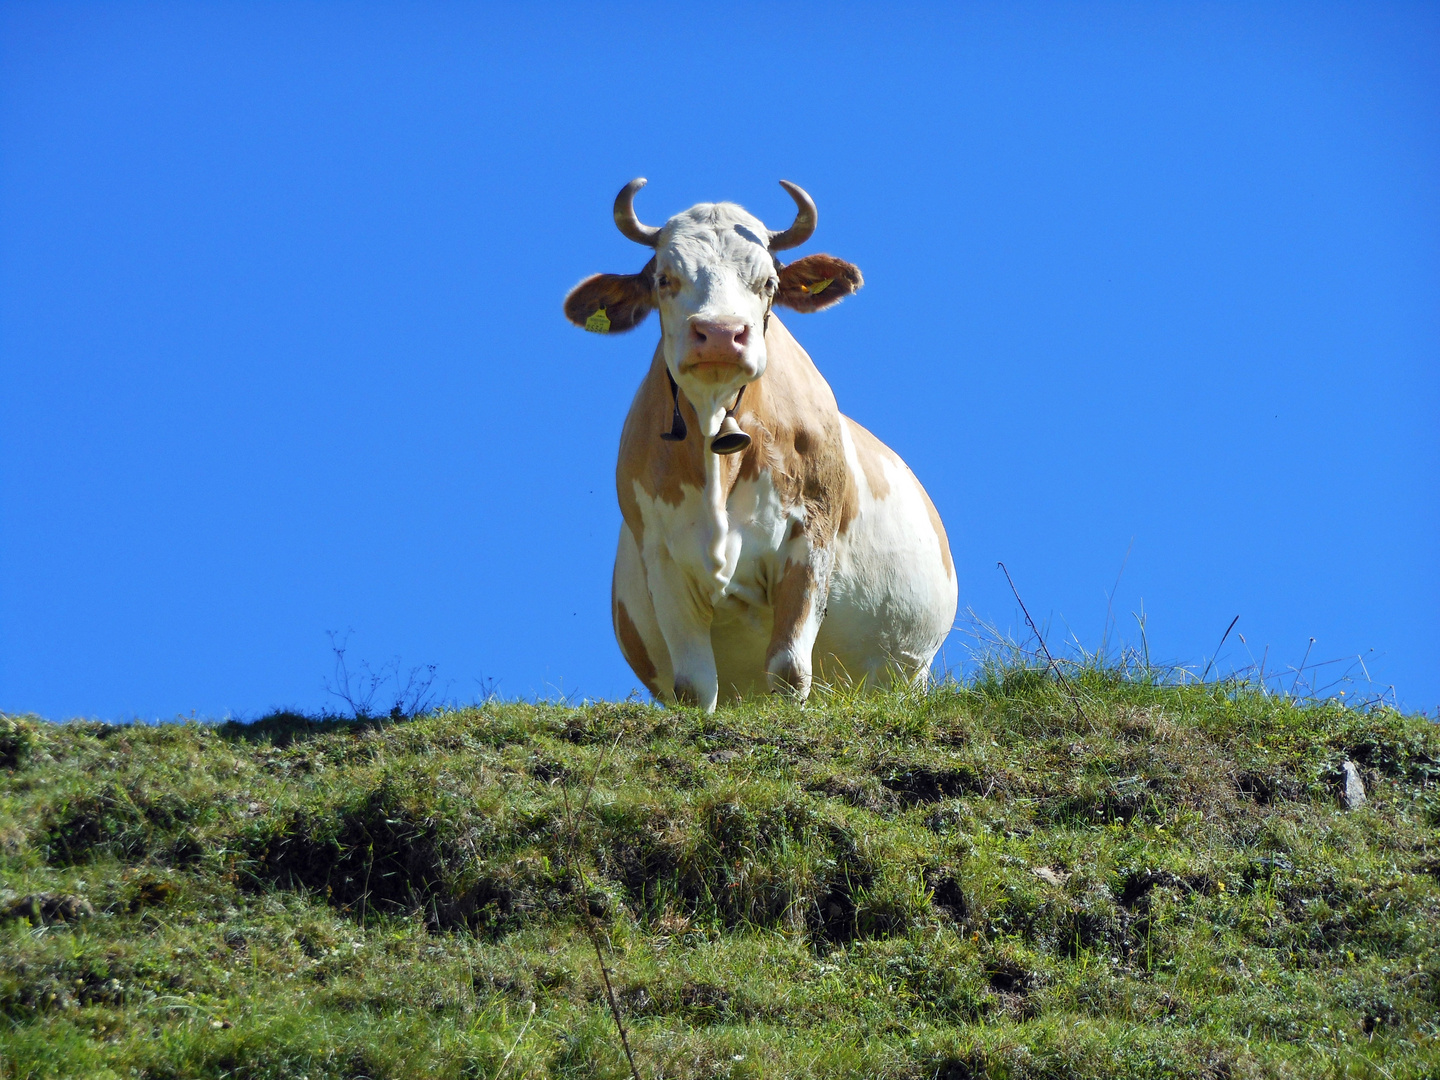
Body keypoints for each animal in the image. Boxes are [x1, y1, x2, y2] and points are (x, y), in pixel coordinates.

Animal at [561, 182, 956, 714]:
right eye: (665, 278)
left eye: (768, 282)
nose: (721, 334)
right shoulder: (663, 557)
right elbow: (694, 686)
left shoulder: (810, 535)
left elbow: (789, 669)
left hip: (910, 672)